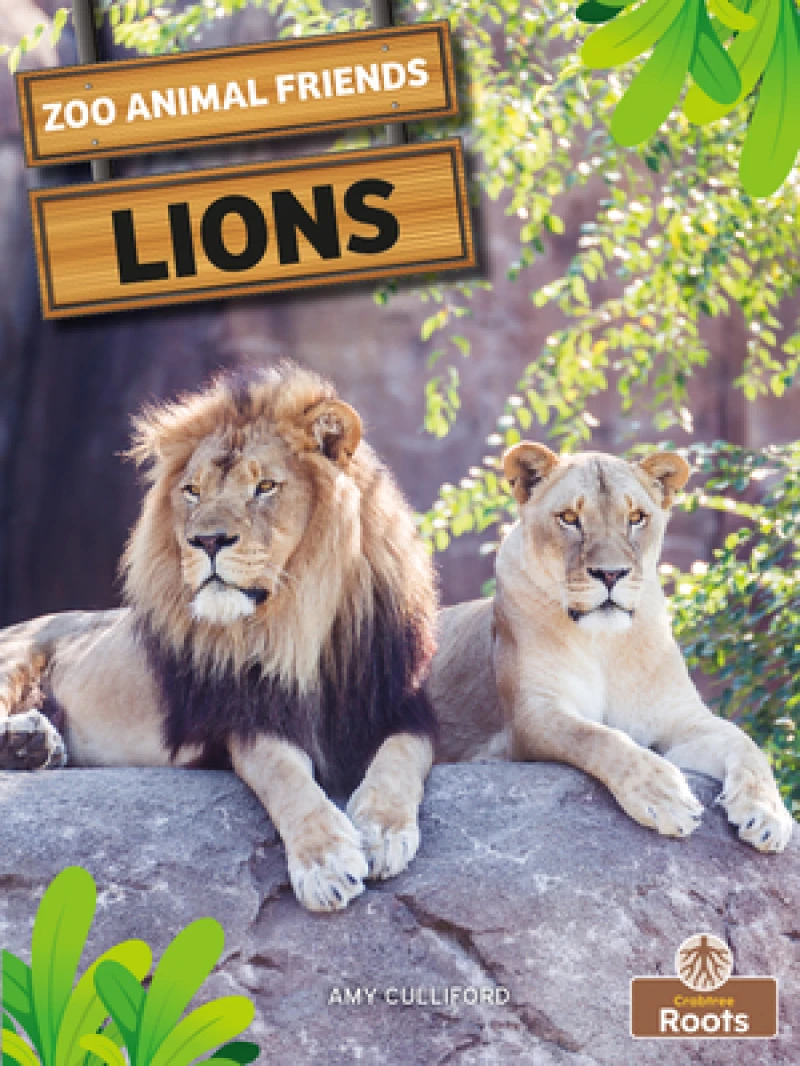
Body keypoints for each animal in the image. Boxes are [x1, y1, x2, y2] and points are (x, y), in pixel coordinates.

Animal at [0, 364, 438, 911]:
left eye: (265, 486)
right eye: (192, 491)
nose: (206, 540)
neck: (301, 624)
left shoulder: (405, 704)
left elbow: (402, 757)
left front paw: (382, 830)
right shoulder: (244, 716)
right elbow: (284, 774)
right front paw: (326, 862)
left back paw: (32, 745)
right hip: (18, 655)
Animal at [429, 444, 794, 853]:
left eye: (636, 518)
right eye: (569, 518)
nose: (610, 573)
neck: (604, 641)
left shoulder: (680, 717)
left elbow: (747, 744)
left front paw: (768, 814)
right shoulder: (532, 715)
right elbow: (599, 737)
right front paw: (664, 796)